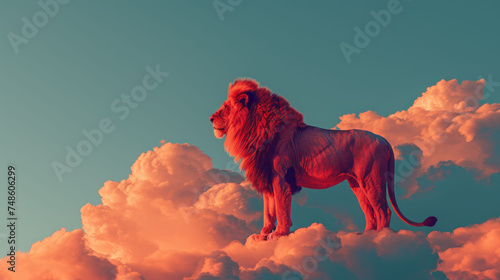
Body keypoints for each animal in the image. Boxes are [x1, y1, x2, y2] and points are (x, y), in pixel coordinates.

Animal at [211, 79, 438, 241]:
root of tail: (384, 140)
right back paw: (366, 236)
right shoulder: (266, 176)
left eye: (225, 107)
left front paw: (279, 234)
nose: (211, 118)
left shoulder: (281, 178)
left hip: (371, 179)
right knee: (370, 212)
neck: (253, 129)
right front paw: (262, 235)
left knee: (384, 211)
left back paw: (380, 238)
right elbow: (269, 211)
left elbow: (282, 209)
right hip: (356, 184)